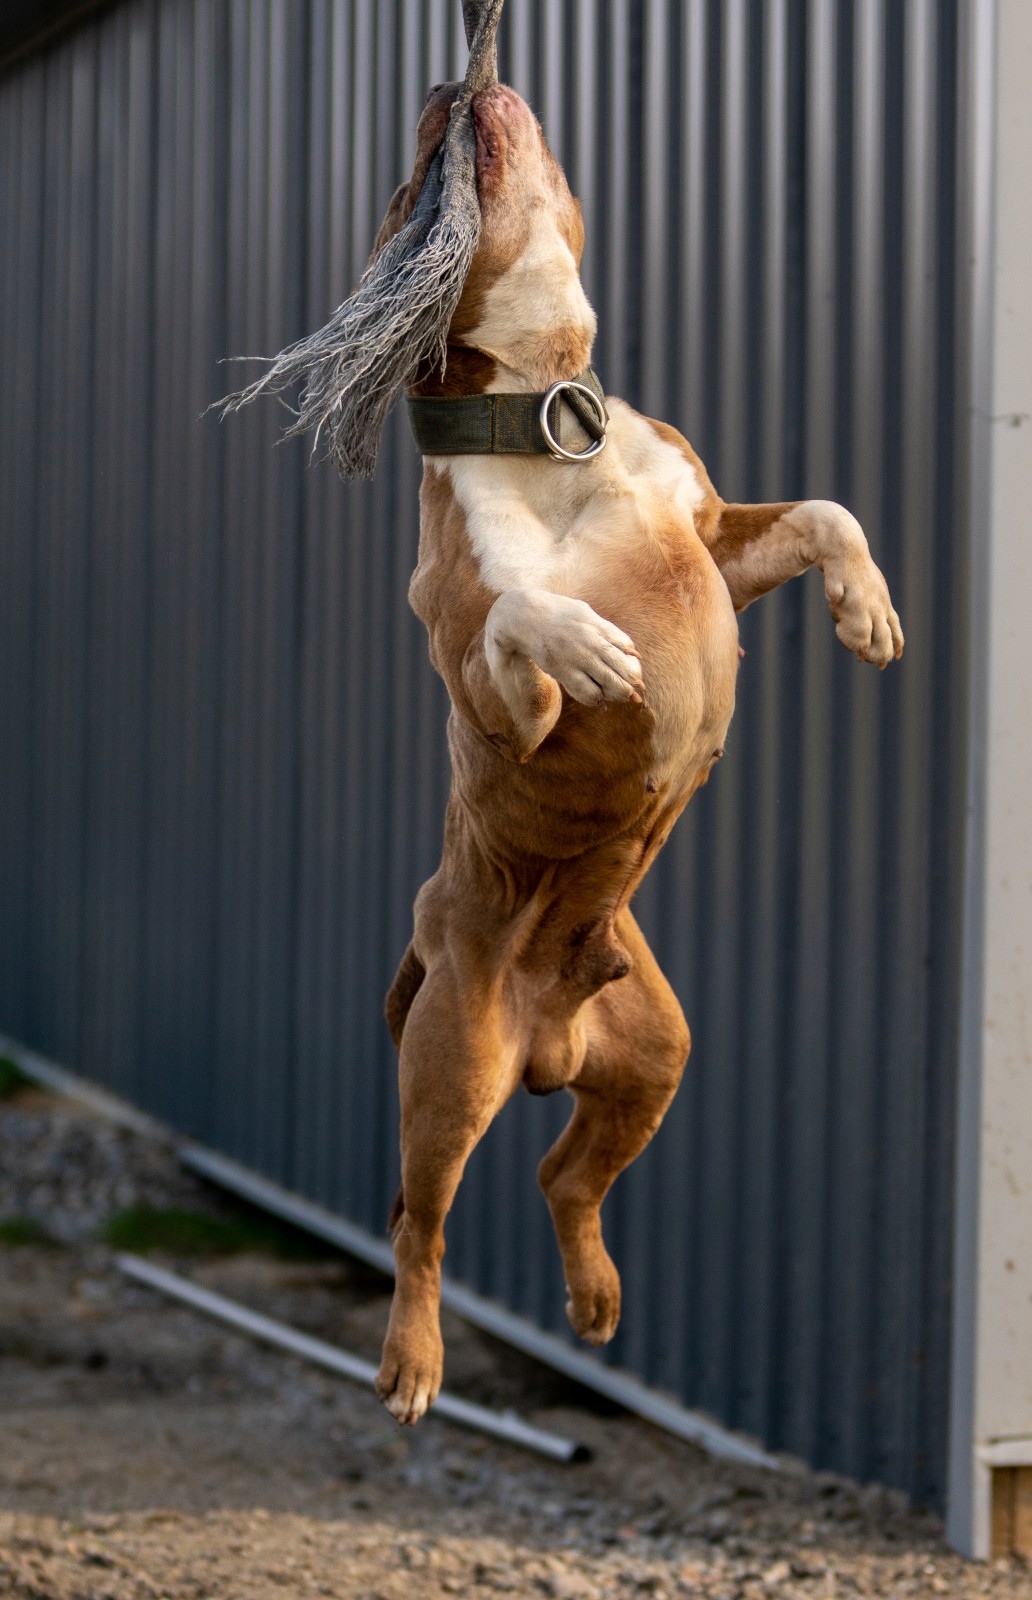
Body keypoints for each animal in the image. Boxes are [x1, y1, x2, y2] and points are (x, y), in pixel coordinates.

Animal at [372, 84, 902, 1427]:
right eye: (408, 191)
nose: (449, 90)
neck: (546, 417)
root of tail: (547, 1042)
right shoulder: (489, 689)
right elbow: (519, 615)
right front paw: (593, 647)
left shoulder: (717, 540)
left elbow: (825, 511)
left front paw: (865, 610)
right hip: (451, 1070)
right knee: (422, 1225)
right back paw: (413, 1363)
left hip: (655, 1056)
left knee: (566, 1177)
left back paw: (599, 1296)